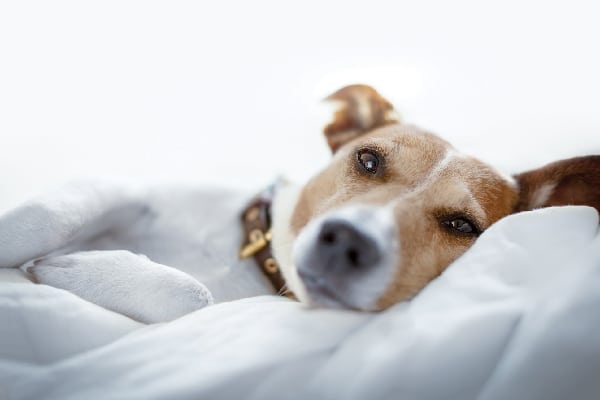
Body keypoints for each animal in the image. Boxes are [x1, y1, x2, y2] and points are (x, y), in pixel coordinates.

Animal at [2, 83, 596, 322]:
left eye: (462, 225)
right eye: (368, 160)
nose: (347, 241)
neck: (251, 262)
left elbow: (192, 295)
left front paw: (70, 267)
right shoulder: (119, 187)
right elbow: (41, 217)